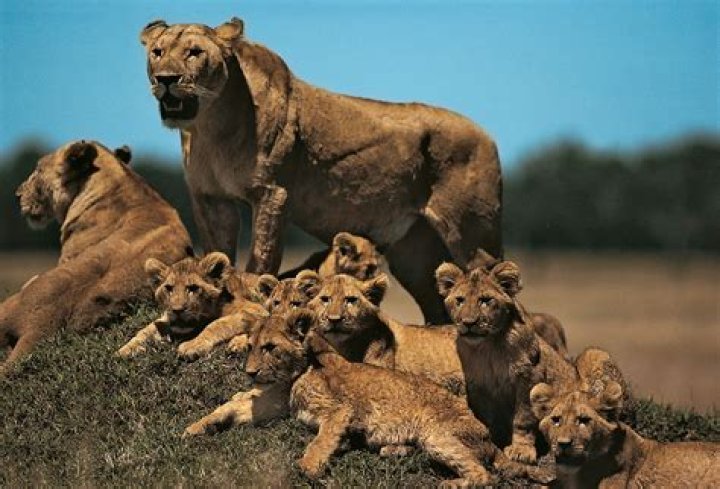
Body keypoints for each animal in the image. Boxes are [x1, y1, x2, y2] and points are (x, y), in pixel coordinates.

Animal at [117, 252, 267, 360]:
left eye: (193, 288)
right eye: (169, 288)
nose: (177, 310)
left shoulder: (258, 310)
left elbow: (217, 324)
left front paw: (192, 345)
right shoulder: (166, 318)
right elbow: (146, 330)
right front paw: (126, 349)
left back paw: (237, 344)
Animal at [139, 17, 502, 324]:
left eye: (194, 53)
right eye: (157, 53)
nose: (166, 80)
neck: (210, 126)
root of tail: (488, 135)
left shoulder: (272, 193)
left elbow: (261, 258)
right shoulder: (209, 198)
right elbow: (218, 252)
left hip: (473, 235)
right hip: (413, 251)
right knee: (437, 308)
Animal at [435, 260, 577, 463]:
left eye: (485, 300)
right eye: (460, 300)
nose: (469, 323)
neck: (488, 348)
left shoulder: (529, 376)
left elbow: (523, 418)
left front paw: (521, 450)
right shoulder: (478, 383)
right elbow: (485, 417)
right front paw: (490, 441)